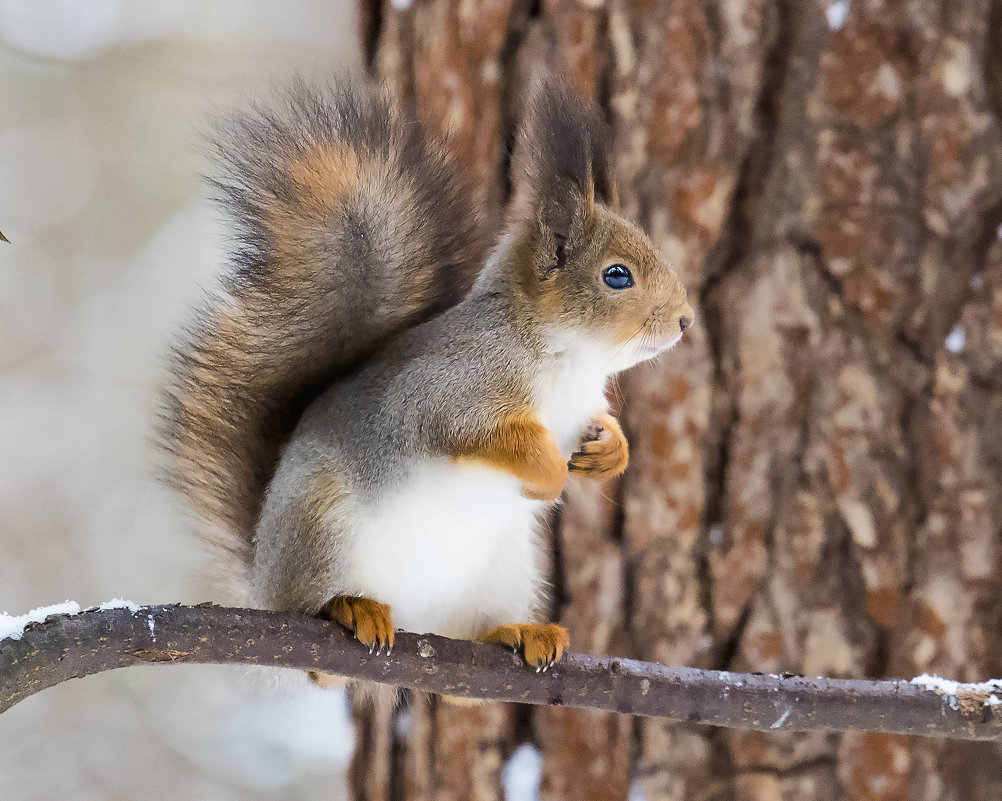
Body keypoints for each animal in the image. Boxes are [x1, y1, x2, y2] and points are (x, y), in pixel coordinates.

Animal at [164, 76, 697, 689]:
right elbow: (475, 432)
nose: (686, 320)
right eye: (617, 275)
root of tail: (263, 579)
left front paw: (609, 452)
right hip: (321, 531)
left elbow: (601, 427)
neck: (568, 359)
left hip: (505, 569)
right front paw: (548, 473)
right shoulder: (449, 389)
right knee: (318, 649)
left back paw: (519, 633)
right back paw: (349, 607)